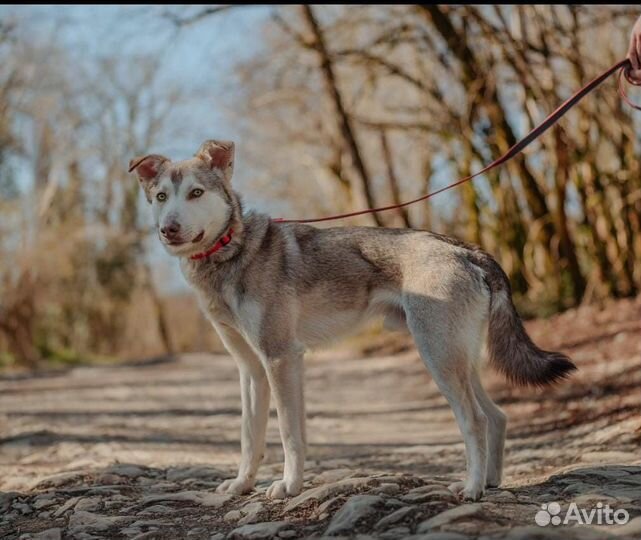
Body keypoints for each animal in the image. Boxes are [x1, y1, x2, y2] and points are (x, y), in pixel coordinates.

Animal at [130, 139, 576, 502]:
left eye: (196, 193)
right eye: (161, 196)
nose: (168, 230)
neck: (231, 251)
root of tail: (467, 249)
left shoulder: (281, 359)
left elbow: (289, 434)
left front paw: (288, 487)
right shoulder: (251, 370)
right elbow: (250, 437)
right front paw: (243, 485)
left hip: (438, 358)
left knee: (477, 421)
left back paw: (471, 489)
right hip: (458, 361)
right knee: (498, 416)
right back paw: (491, 482)